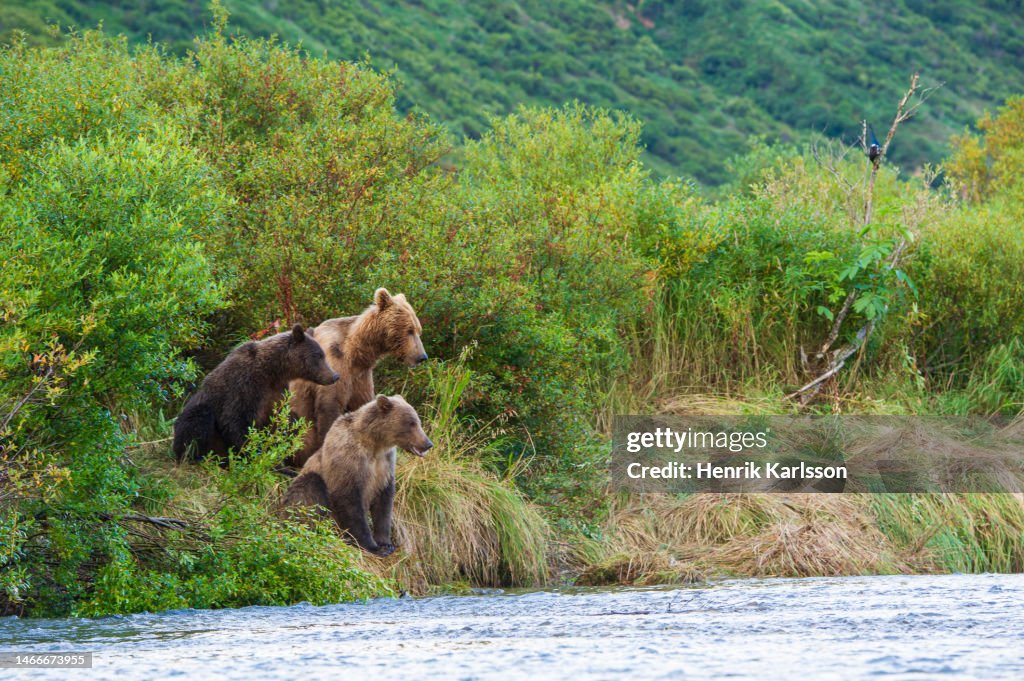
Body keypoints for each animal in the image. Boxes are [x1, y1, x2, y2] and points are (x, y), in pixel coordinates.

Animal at [173, 324, 340, 463]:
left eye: (323, 355)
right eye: (318, 355)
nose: (335, 376)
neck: (273, 371)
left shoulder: (277, 391)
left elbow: (279, 420)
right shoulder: (245, 385)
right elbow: (234, 420)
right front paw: (255, 454)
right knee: (197, 419)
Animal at [281, 394, 432, 556]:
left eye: (418, 421)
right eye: (411, 423)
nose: (428, 443)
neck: (375, 444)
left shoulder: (385, 466)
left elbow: (384, 504)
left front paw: (386, 543)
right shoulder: (349, 459)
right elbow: (349, 501)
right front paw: (372, 546)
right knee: (309, 488)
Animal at [288, 288, 427, 467]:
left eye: (418, 330)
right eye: (409, 330)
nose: (422, 356)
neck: (356, 353)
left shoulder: (361, 377)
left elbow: (362, 404)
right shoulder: (333, 367)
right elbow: (329, 407)